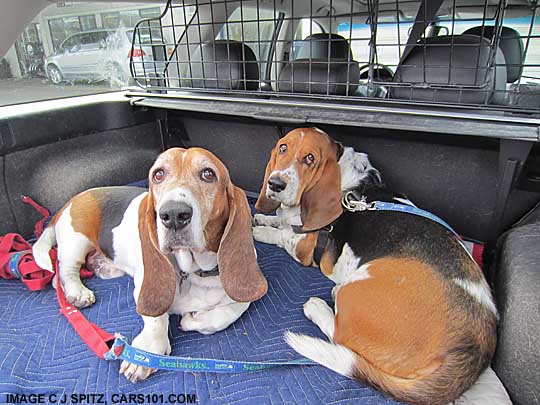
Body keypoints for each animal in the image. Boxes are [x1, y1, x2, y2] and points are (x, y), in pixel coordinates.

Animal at [32, 147, 266, 380]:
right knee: (64, 270)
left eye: (208, 174)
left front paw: (194, 320)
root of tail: (72, 200)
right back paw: (77, 291)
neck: (193, 271)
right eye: (158, 174)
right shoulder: (142, 287)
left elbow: (236, 308)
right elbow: (156, 317)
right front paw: (148, 350)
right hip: (76, 239)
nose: (173, 214)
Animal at [253, 128, 498, 402]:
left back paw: (318, 306)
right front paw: (263, 217)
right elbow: (279, 221)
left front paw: (261, 231)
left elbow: (283, 235)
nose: (275, 184)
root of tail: (476, 345)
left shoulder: (303, 247)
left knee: (340, 334)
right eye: (283, 148)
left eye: (310, 158)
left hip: (359, 286)